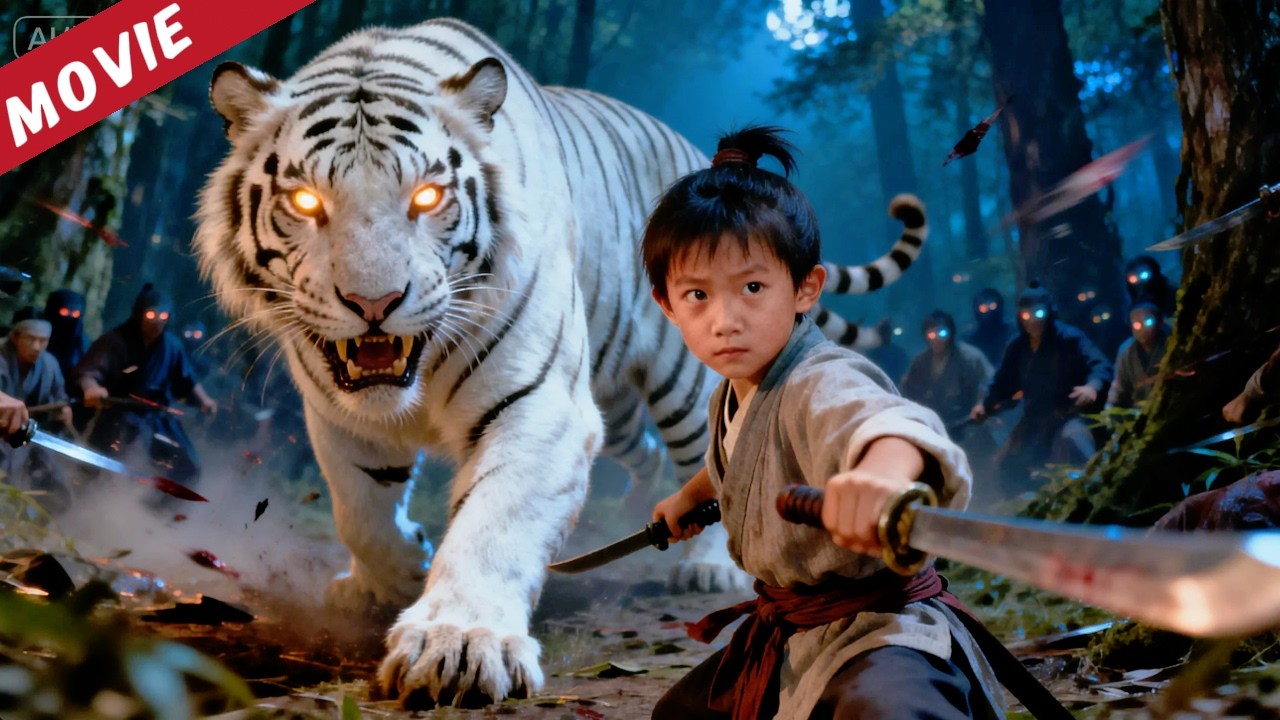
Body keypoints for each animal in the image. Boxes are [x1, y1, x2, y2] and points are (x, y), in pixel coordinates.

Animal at [195, 18, 927, 707]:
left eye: (427, 198)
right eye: (306, 202)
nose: (374, 303)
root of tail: (698, 153)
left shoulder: (538, 403)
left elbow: (494, 521)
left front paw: (459, 643)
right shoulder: (337, 413)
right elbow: (359, 508)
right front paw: (391, 575)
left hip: (688, 373)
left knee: (710, 455)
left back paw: (706, 564)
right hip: (616, 397)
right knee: (646, 453)